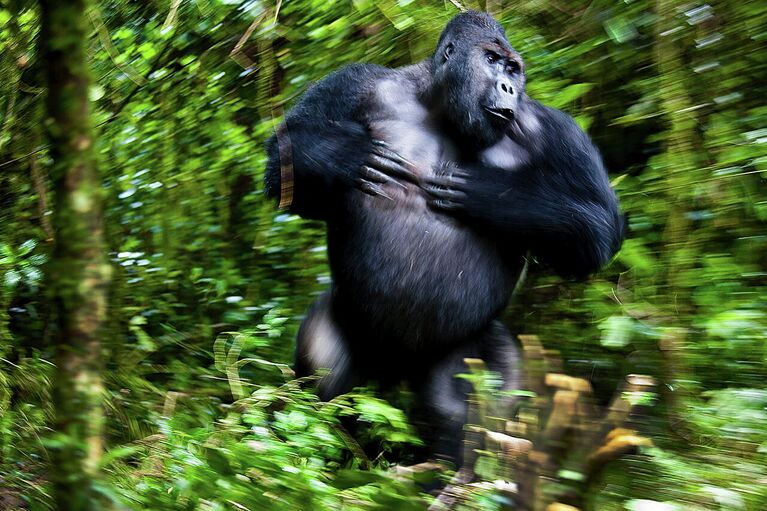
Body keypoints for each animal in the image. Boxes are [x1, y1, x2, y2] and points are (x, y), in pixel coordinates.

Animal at [264, 11, 624, 464]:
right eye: (491, 60)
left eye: (513, 69)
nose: (508, 87)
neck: (438, 106)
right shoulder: (356, 80)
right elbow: (285, 163)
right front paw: (349, 157)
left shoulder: (554, 127)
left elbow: (597, 227)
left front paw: (489, 193)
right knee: (324, 380)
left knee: (463, 405)